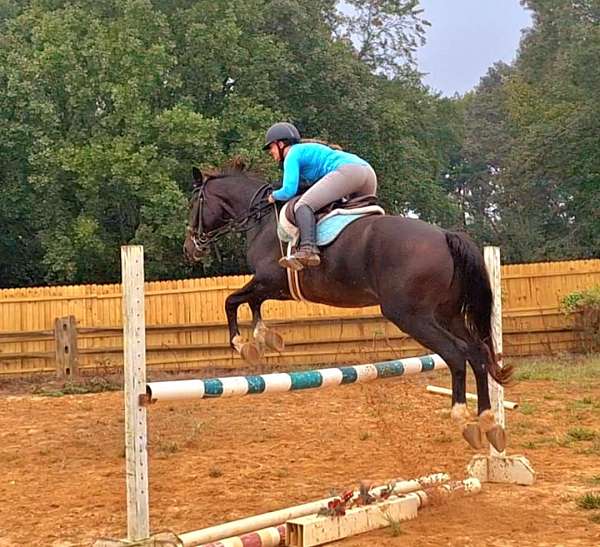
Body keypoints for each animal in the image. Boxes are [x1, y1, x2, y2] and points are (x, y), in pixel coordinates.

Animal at [183, 167, 510, 454]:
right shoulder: (276, 287)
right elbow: (250, 302)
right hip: (447, 314)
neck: (261, 220)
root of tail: (444, 235)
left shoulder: (269, 280)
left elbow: (231, 301)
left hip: (411, 316)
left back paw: (462, 418)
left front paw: (243, 345)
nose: (190, 247)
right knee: (477, 353)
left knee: (456, 354)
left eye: (194, 203)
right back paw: (488, 423)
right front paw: (265, 339)